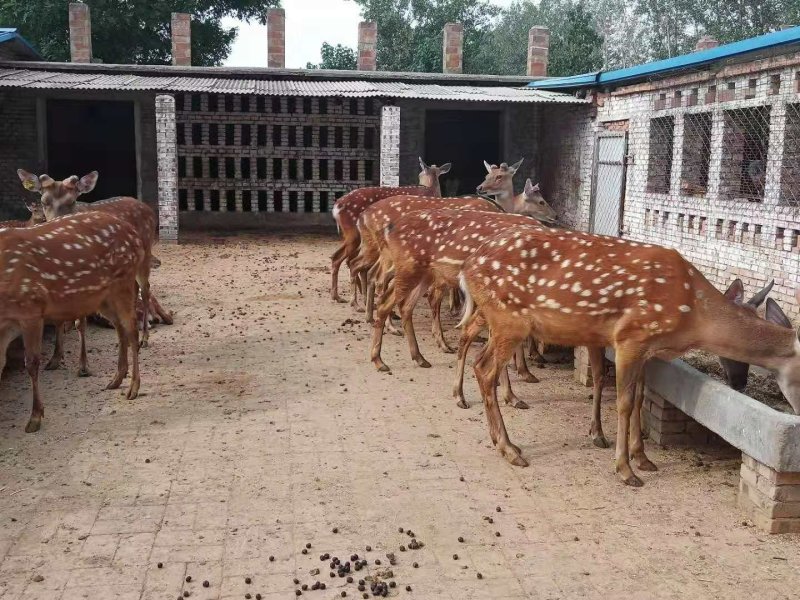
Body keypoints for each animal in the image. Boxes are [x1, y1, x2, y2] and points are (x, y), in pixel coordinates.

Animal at [0, 211, 144, 432]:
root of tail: (133, 233)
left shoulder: (31, 309)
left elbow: (31, 363)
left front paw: (35, 417)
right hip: (102, 297)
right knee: (120, 329)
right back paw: (116, 379)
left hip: (123, 282)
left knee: (132, 330)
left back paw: (133, 387)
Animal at [17, 170, 161, 348]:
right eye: (44, 201)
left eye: (72, 201)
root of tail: (149, 209)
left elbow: (80, 322)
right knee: (134, 289)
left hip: (146, 250)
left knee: (145, 289)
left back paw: (144, 339)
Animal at [330, 158, 450, 306]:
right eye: (419, 174)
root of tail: (336, 207)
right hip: (353, 232)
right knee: (344, 259)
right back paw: (353, 299)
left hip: (352, 235)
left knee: (340, 258)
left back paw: (341, 296)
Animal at [457, 224, 800, 486]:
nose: (740, 383)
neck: (693, 315)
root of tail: (467, 267)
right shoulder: (630, 336)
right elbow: (623, 402)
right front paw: (625, 469)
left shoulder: (648, 348)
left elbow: (638, 399)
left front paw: (643, 458)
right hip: (508, 318)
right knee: (485, 369)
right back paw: (509, 448)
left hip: (501, 321)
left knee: (478, 361)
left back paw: (500, 439)